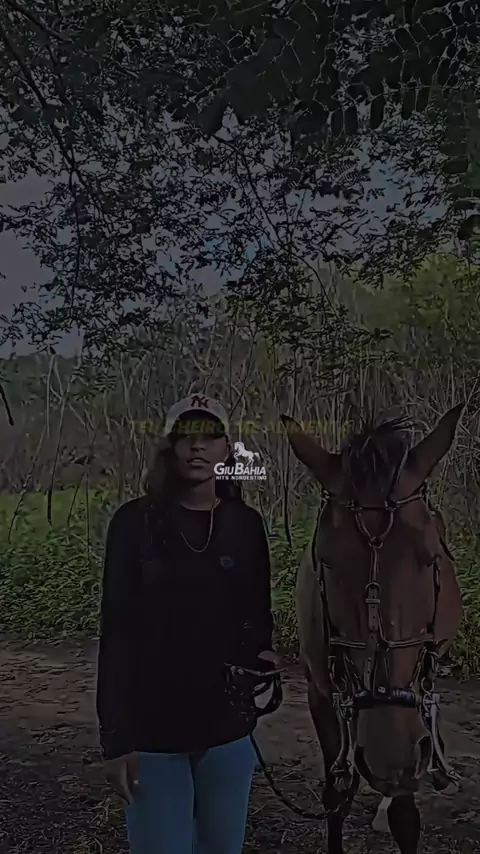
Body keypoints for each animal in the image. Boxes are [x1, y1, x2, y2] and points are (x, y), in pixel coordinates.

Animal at [280, 405, 464, 854]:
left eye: (431, 556)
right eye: (325, 559)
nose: (387, 757)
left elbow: (404, 814)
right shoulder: (320, 691)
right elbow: (336, 793)